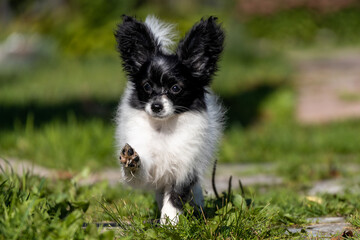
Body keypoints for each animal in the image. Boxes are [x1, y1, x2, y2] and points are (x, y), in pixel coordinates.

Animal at [114, 15, 225, 224]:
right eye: (147, 86)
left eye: (175, 88)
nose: (156, 106)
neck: (164, 127)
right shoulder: (148, 163)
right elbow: (139, 171)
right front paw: (130, 159)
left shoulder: (185, 166)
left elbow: (176, 195)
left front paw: (170, 221)